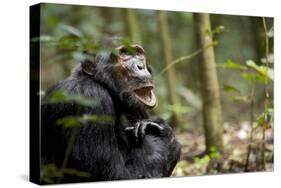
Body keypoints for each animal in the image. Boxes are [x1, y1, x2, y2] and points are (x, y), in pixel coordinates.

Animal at [41, 38, 182, 184]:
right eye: (124, 54)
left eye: (138, 54)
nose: (141, 66)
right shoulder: (89, 98)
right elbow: (115, 174)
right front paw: (161, 134)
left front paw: (162, 128)